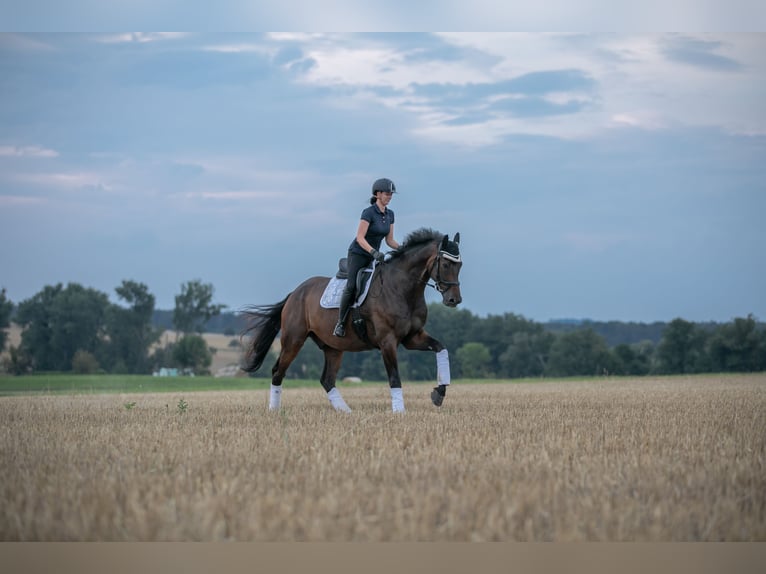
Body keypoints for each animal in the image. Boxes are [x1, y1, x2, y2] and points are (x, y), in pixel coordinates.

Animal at [243, 230, 464, 414]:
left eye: (459, 265)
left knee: (327, 379)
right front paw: (399, 411)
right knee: (278, 371)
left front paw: (439, 393)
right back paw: (274, 410)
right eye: (445, 264)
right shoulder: (388, 341)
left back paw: (346, 411)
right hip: (293, 340)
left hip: (333, 347)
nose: (454, 300)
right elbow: (394, 377)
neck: (402, 289)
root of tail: (295, 293)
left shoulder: (412, 337)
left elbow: (441, 348)